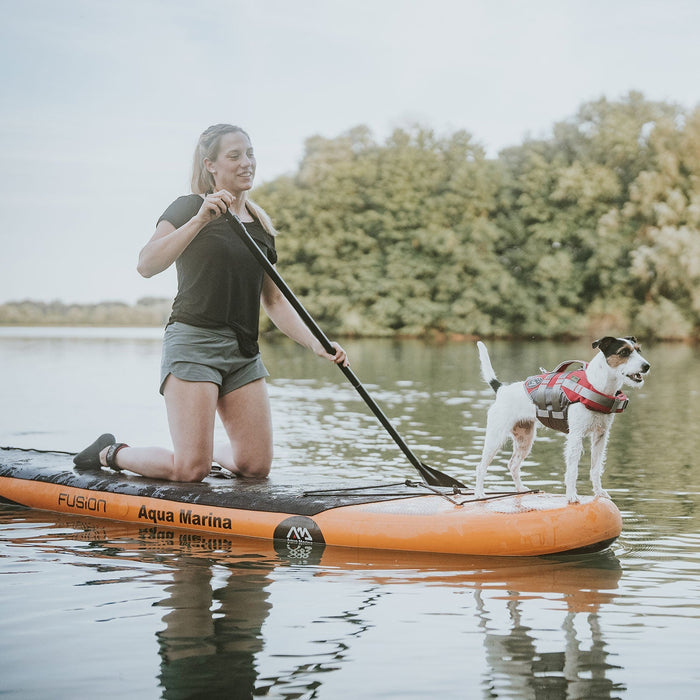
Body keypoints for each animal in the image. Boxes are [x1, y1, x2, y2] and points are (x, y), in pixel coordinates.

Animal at [476, 336, 652, 500]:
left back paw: (520, 489)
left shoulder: (600, 436)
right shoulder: (576, 436)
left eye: (638, 350)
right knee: (481, 466)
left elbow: (595, 469)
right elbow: (573, 470)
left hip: (524, 439)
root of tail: (502, 390)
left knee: (513, 465)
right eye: (624, 352)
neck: (597, 385)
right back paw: (479, 494)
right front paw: (572, 496)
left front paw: (599, 492)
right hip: (495, 438)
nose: (647, 366)